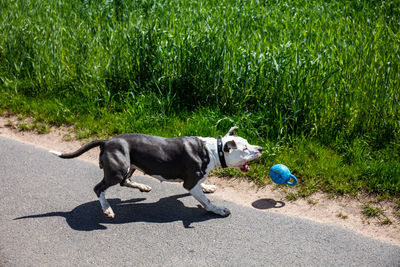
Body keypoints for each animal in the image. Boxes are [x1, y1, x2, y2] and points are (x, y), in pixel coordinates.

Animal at [50, 126, 262, 219]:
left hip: (131, 165)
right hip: (118, 169)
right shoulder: (189, 183)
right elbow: (206, 201)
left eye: (248, 142)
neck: (213, 150)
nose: (260, 148)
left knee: (125, 181)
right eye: (244, 148)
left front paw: (208, 186)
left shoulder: (194, 182)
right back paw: (107, 209)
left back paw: (143, 187)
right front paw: (218, 210)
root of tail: (107, 141)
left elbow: (202, 187)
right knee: (99, 188)